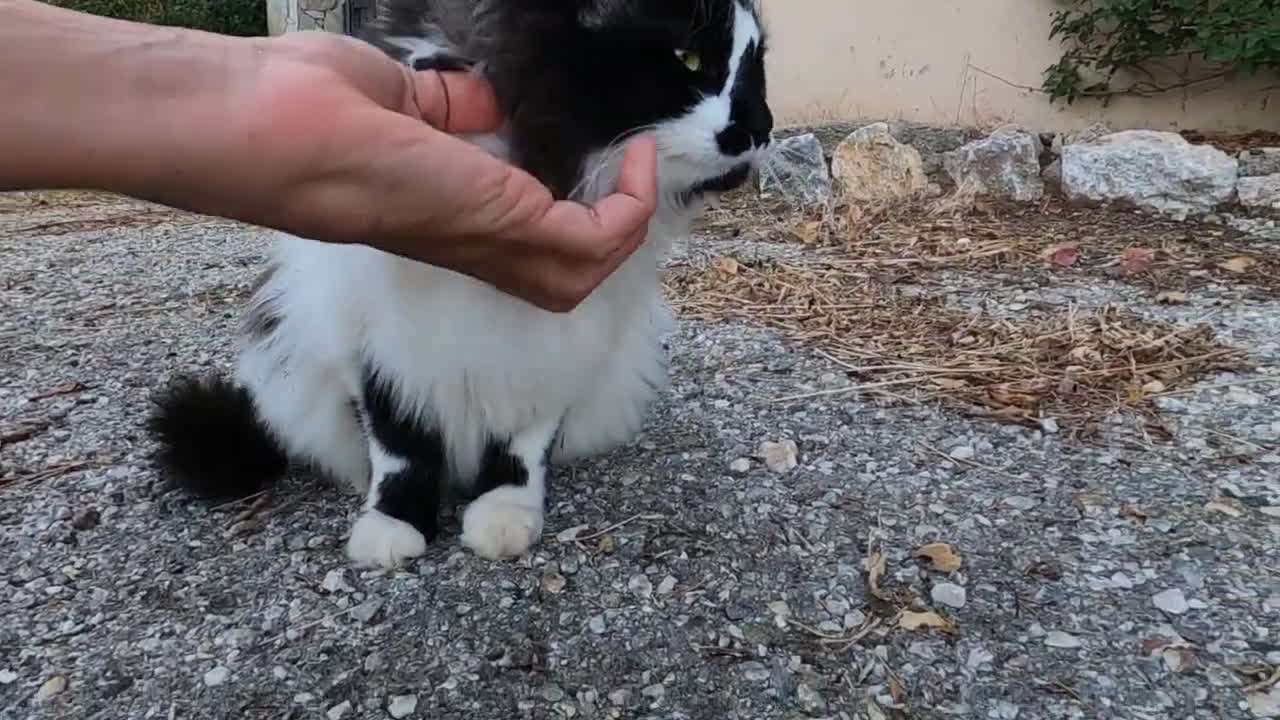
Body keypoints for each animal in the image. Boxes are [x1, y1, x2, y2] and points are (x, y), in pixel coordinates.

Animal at [146, 0, 773, 566]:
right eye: (688, 58)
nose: (762, 128)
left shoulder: (559, 341)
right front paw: (394, 524)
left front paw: (504, 512)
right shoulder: (378, 337)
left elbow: (523, 442)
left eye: (757, 68)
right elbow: (399, 444)